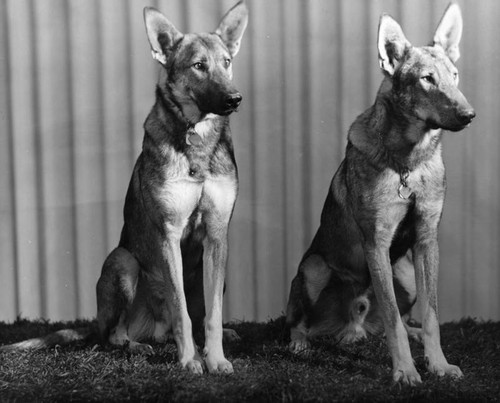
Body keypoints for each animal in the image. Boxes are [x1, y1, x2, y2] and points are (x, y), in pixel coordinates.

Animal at [1, 2, 248, 376]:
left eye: (227, 62)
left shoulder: (218, 235)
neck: (197, 140)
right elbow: (181, 311)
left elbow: (212, 315)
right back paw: (139, 346)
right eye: (199, 66)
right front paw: (189, 360)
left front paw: (216, 358)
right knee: (114, 335)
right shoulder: (168, 234)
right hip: (123, 261)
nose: (235, 99)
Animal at [288, 3, 474, 388]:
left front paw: (438, 364)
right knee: (298, 322)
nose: (469, 115)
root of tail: (353, 325)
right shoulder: (377, 242)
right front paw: (405, 370)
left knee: (402, 317)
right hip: (313, 269)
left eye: (455, 75)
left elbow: (431, 316)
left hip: (405, 275)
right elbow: (390, 320)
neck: (408, 164)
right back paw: (300, 345)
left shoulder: (426, 239)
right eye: (427, 79)